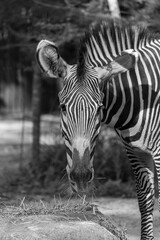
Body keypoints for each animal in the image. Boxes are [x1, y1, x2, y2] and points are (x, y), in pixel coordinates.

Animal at [36, 21, 160, 239]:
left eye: (99, 108)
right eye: (62, 107)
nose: (80, 177)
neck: (140, 99)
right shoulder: (136, 151)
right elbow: (145, 201)